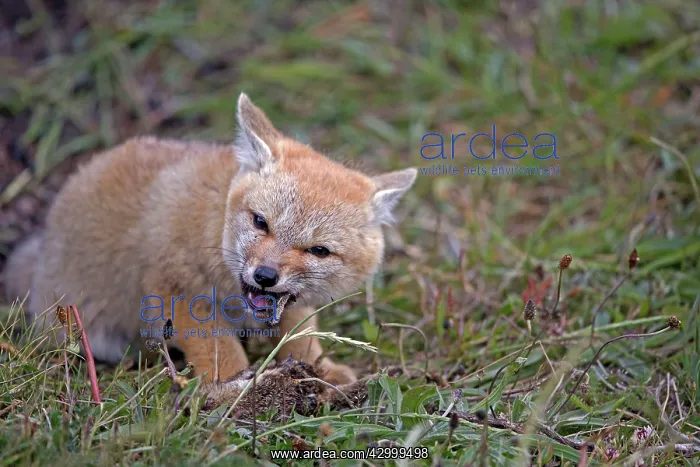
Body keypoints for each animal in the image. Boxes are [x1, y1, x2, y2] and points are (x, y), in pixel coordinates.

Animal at [3, 93, 416, 385]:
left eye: (319, 250)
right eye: (261, 222)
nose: (265, 276)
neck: (213, 224)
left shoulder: (289, 306)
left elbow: (301, 337)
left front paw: (320, 371)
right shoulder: (179, 292)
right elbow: (221, 354)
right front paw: (237, 393)